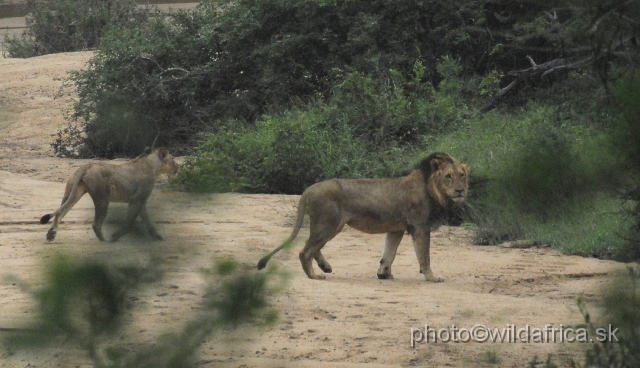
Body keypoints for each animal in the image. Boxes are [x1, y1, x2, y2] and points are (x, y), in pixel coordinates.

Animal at [40, 148, 179, 243]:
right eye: (173, 159)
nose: (178, 166)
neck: (154, 167)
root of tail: (87, 166)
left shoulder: (139, 201)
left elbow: (147, 221)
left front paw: (158, 236)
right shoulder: (137, 200)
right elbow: (130, 222)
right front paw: (115, 235)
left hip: (72, 192)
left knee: (59, 213)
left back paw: (51, 235)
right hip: (102, 198)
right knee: (96, 224)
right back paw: (106, 240)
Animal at [256, 152, 470, 282]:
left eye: (462, 175)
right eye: (448, 176)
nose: (460, 190)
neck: (434, 191)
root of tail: (310, 188)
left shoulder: (397, 229)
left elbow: (389, 253)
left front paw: (384, 274)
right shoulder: (420, 228)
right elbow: (424, 256)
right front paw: (432, 277)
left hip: (328, 226)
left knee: (312, 247)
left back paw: (325, 267)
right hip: (329, 224)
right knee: (305, 251)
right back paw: (315, 276)